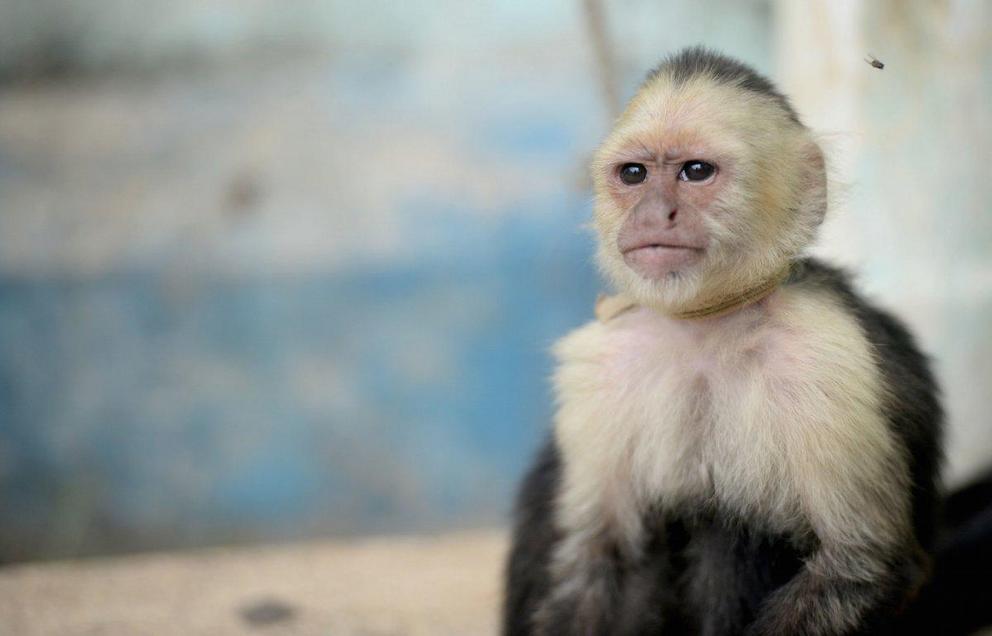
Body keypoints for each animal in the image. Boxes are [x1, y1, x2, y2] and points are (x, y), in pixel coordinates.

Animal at [504, 47, 944, 632]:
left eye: (696, 172)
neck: (704, 329)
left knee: (729, 521)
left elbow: (861, 564)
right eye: (634, 174)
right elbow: (597, 562)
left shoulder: (826, 355)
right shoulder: (599, 364)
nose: (654, 213)